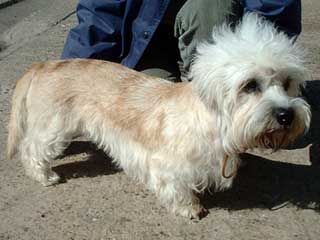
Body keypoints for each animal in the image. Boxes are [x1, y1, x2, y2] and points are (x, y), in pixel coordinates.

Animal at [7, 13, 312, 219]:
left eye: (287, 83)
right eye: (250, 85)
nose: (286, 115)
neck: (212, 124)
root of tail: (44, 64)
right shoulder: (166, 167)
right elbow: (178, 189)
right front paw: (190, 208)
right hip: (53, 128)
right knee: (31, 149)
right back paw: (45, 176)